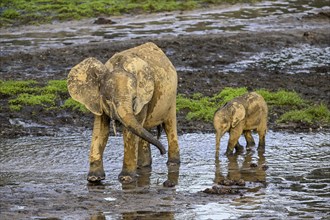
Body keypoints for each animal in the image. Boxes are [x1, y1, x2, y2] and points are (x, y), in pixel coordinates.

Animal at [67, 42, 180, 183]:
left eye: (134, 98)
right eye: (108, 99)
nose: (162, 152)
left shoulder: (141, 100)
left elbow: (129, 134)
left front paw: (126, 179)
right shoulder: (98, 102)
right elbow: (100, 129)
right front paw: (94, 178)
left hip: (172, 97)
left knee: (169, 125)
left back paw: (172, 163)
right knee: (144, 129)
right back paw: (143, 166)